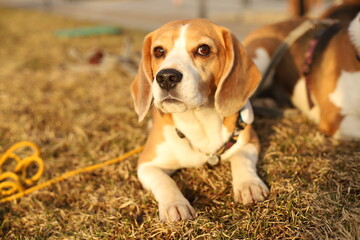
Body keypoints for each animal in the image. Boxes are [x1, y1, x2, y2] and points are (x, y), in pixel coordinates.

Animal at [131, 19, 268, 223]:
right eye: (159, 51)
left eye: (203, 49)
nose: (166, 77)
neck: (197, 120)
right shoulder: (146, 165)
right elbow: (164, 180)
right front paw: (175, 205)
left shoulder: (249, 142)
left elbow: (241, 158)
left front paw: (248, 184)